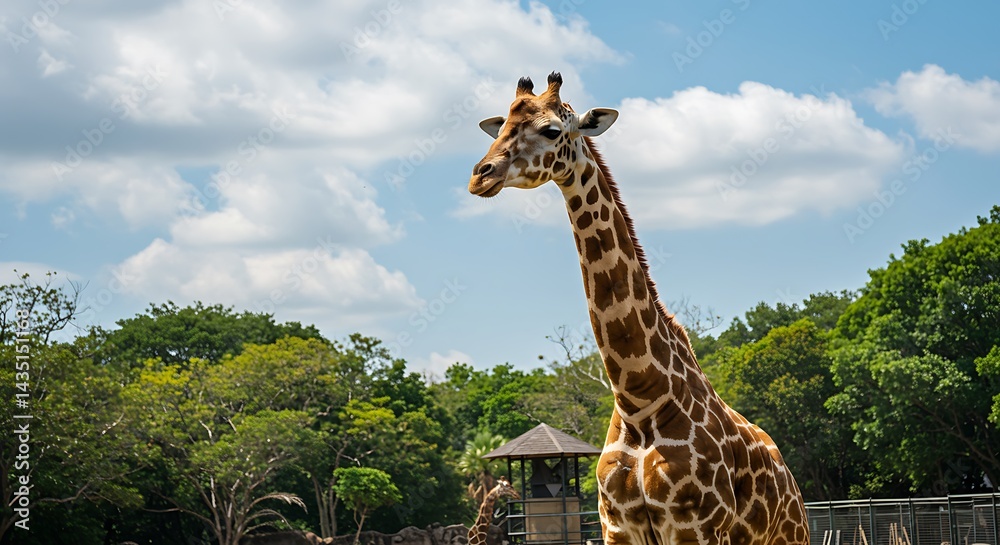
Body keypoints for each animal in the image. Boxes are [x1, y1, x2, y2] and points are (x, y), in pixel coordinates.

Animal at [467, 73, 809, 545]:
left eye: (552, 130)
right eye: (499, 128)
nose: (480, 177)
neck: (639, 399)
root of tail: (792, 482)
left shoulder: (694, 528)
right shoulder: (617, 526)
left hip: (791, 535)